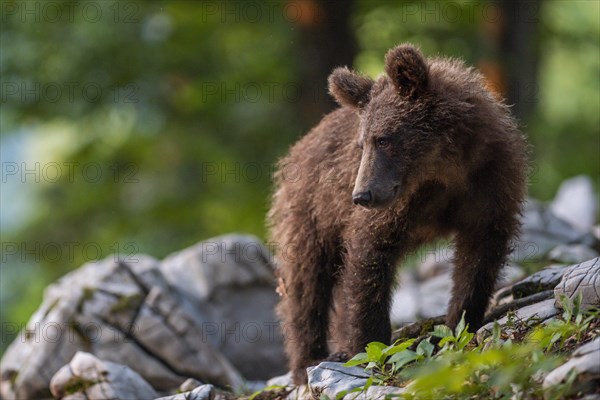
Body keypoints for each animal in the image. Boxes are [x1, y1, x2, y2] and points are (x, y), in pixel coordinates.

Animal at [268, 43, 524, 384]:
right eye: (361, 144)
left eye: (384, 138)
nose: (361, 195)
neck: (443, 171)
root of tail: (299, 146)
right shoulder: (395, 207)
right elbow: (368, 259)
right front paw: (369, 346)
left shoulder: (489, 185)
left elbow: (478, 258)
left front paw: (460, 321)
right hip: (310, 209)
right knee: (306, 281)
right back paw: (309, 358)